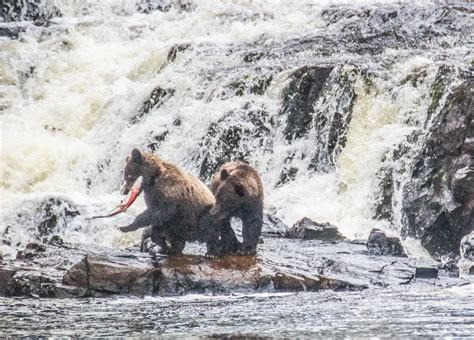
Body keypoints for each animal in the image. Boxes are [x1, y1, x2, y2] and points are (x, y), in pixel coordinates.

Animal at [92, 147, 262, 256]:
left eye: (126, 174)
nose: (125, 190)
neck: (153, 177)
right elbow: (157, 219)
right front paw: (157, 240)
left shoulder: (169, 192)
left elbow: (159, 211)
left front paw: (126, 226)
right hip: (182, 225)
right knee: (173, 235)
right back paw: (169, 247)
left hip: (199, 218)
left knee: (210, 228)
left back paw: (212, 250)